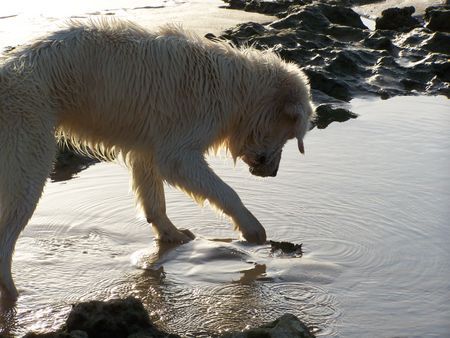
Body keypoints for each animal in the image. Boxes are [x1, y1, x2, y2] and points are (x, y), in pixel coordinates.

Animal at [0, 18, 314, 300]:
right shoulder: (181, 146)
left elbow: (153, 196)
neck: (239, 91)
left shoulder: (149, 145)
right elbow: (220, 188)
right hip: (29, 143)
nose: (273, 173)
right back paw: (13, 291)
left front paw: (172, 235)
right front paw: (252, 228)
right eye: (290, 135)